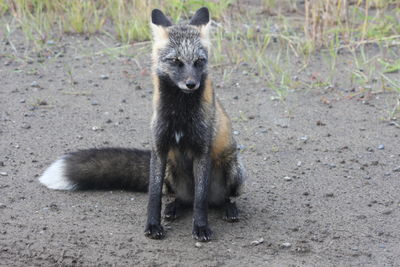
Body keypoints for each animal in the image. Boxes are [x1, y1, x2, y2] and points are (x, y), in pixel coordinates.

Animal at [39, 7, 247, 243]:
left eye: (198, 61)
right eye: (175, 61)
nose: (191, 84)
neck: (179, 114)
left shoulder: (202, 150)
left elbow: (200, 200)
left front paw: (201, 227)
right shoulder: (159, 149)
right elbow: (154, 195)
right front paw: (153, 226)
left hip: (233, 170)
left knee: (219, 199)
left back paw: (228, 208)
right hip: (172, 174)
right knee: (181, 199)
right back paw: (174, 207)